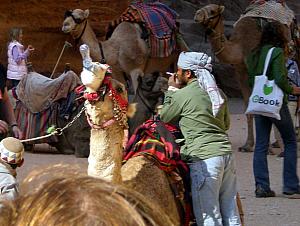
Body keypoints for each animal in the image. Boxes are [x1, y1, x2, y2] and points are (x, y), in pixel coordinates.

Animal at [193, 3, 296, 152]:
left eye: (212, 11)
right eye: (203, 7)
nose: (197, 15)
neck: (240, 47)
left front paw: (264, 147)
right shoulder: (240, 72)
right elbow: (248, 107)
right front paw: (248, 145)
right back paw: (277, 142)